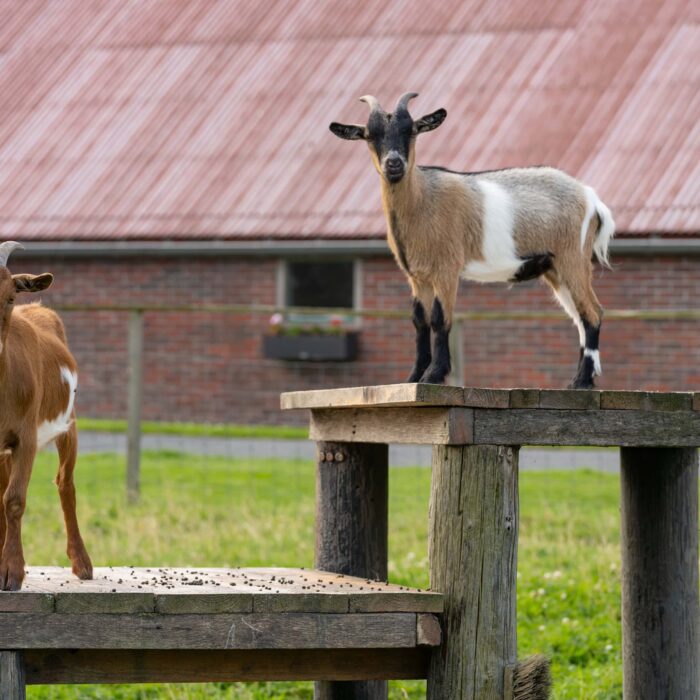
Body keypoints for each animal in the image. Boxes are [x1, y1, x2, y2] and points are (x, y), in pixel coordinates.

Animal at [0, 242, 92, 592]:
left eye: (10, 297)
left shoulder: (25, 437)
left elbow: (14, 500)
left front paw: (11, 572)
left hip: (69, 426)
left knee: (66, 483)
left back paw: (82, 563)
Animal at [328, 93, 612, 388]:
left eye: (411, 131)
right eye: (370, 135)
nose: (394, 164)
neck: (422, 199)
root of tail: (591, 198)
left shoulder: (446, 268)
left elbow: (440, 318)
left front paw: (434, 375)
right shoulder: (417, 276)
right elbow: (419, 321)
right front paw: (414, 377)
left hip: (573, 257)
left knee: (591, 312)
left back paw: (582, 382)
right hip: (555, 268)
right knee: (580, 316)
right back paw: (579, 379)